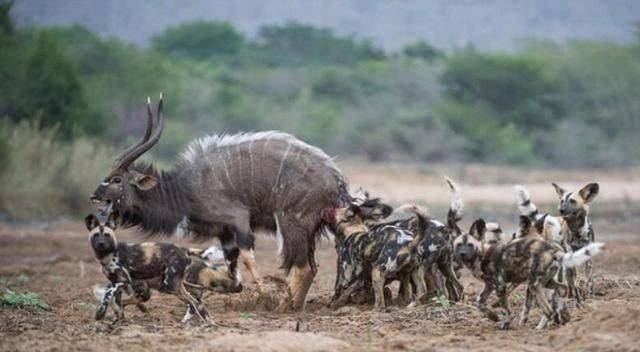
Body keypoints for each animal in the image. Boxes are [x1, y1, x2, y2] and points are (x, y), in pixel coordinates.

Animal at [450, 214, 604, 330]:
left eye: (470, 245)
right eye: (459, 245)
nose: (462, 254)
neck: (481, 255)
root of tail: (553, 250)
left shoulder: (500, 286)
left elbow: (506, 310)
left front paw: (505, 324)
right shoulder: (489, 285)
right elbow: (479, 303)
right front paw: (493, 316)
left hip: (535, 285)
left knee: (549, 310)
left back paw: (539, 329)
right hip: (545, 282)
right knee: (562, 291)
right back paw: (561, 319)